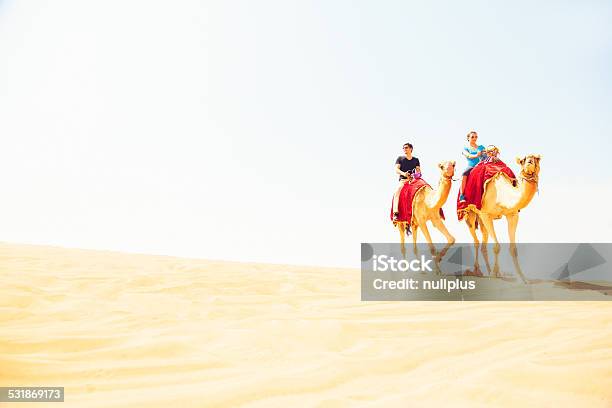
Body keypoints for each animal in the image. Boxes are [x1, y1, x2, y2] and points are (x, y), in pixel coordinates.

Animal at [462, 152, 544, 280]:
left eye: (537, 158)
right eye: (522, 161)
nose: (529, 162)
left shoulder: (512, 214)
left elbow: (513, 249)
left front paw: (522, 278)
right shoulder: (486, 214)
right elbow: (496, 247)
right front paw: (493, 274)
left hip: (481, 219)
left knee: (483, 241)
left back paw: (489, 271)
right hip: (471, 212)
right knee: (476, 241)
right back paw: (477, 271)